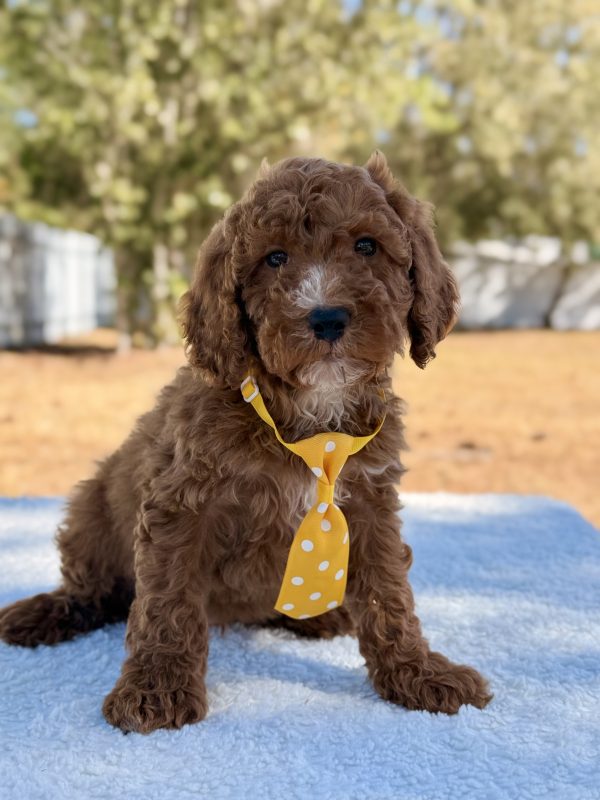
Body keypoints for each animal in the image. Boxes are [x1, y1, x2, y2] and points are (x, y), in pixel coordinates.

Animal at [0, 152, 492, 732]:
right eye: (274, 258)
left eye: (367, 246)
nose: (327, 317)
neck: (310, 419)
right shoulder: (180, 504)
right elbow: (168, 601)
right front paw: (156, 687)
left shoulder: (372, 503)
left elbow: (388, 594)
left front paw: (417, 672)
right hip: (88, 511)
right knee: (95, 591)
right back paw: (46, 612)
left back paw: (322, 615)